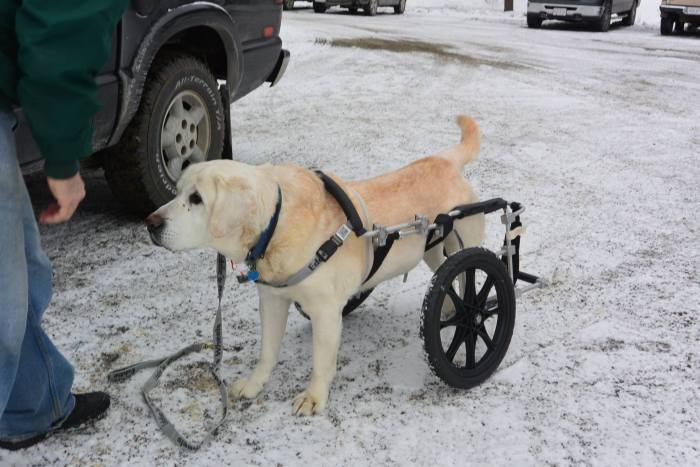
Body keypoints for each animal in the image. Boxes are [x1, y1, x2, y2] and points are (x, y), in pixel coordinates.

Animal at [146, 115, 486, 414]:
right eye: (178, 191)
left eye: (197, 198)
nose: (151, 223)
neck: (277, 222)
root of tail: (443, 160)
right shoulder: (272, 300)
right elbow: (267, 352)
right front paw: (254, 385)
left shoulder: (325, 312)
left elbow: (321, 363)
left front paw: (313, 398)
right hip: (432, 247)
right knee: (445, 273)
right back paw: (447, 308)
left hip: (466, 241)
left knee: (467, 280)